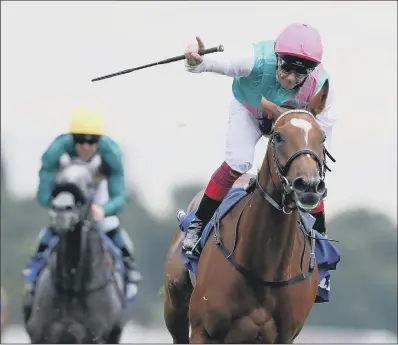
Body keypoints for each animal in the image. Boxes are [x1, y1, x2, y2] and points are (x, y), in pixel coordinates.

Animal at [24, 157, 126, 342]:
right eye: (58, 181)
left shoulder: (96, 337)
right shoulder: (43, 336)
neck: (73, 288)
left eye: (89, 184)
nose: (61, 211)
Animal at [163, 80, 332, 342]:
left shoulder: (284, 337)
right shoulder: (203, 330)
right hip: (174, 306)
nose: (308, 185)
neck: (264, 268)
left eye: (322, 137)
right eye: (278, 136)